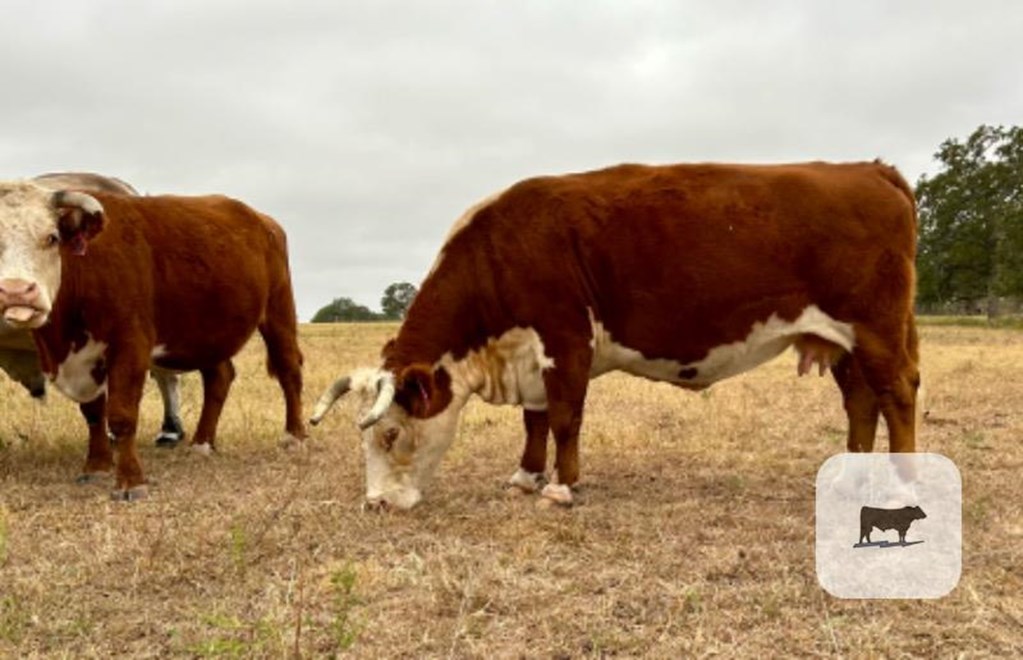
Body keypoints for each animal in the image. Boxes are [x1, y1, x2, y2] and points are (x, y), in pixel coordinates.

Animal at [308, 159, 920, 509]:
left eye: (390, 434)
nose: (376, 504)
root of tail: (867, 168)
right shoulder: (530, 352)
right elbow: (534, 420)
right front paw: (526, 476)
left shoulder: (564, 338)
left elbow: (563, 417)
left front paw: (561, 487)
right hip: (844, 342)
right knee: (861, 400)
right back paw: (849, 479)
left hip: (875, 327)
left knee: (898, 391)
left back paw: (906, 480)